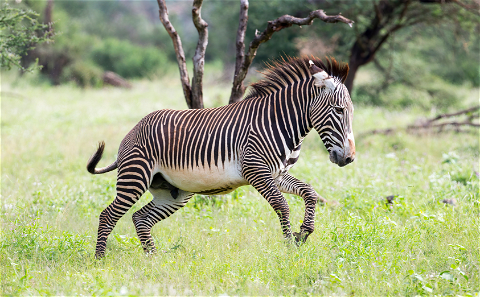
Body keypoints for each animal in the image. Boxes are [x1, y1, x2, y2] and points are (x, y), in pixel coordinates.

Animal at [88, 56, 354, 256]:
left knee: (140, 218)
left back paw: (152, 258)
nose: (349, 158)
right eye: (339, 110)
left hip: (173, 192)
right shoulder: (255, 170)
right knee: (108, 216)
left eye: (350, 110)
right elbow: (282, 206)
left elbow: (309, 192)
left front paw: (304, 233)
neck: (279, 122)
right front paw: (289, 246)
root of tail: (133, 130)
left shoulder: (277, 173)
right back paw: (100, 260)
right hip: (135, 177)